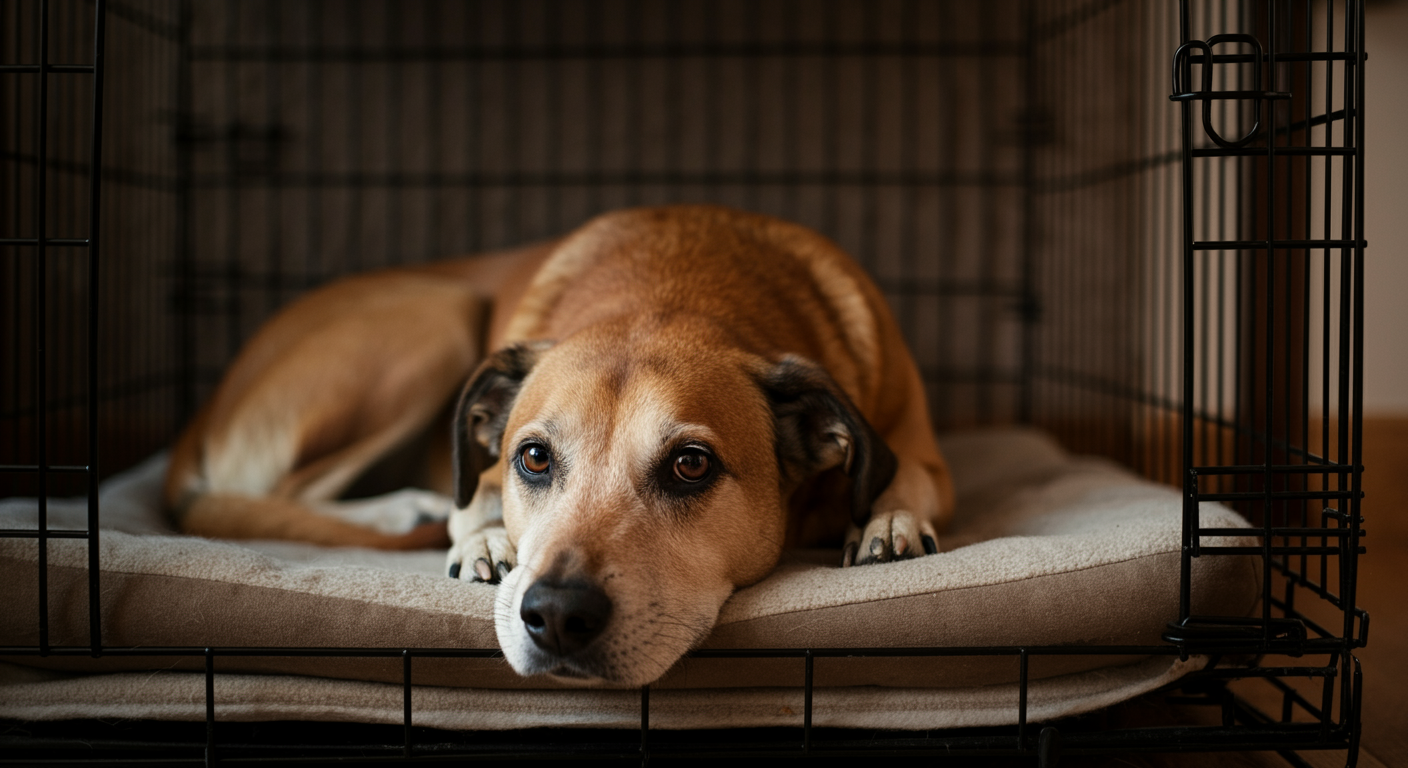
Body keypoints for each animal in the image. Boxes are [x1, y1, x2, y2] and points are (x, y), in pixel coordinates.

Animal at [161, 202, 957, 682]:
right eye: (534, 458)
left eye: (690, 465)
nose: (556, 616)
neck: (675, 288)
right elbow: (476, 498)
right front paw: (483, 538)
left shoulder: (922, 452)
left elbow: (906, 474)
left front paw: (887, 520)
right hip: (438, 318)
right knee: (273, 492)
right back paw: (407, 509)